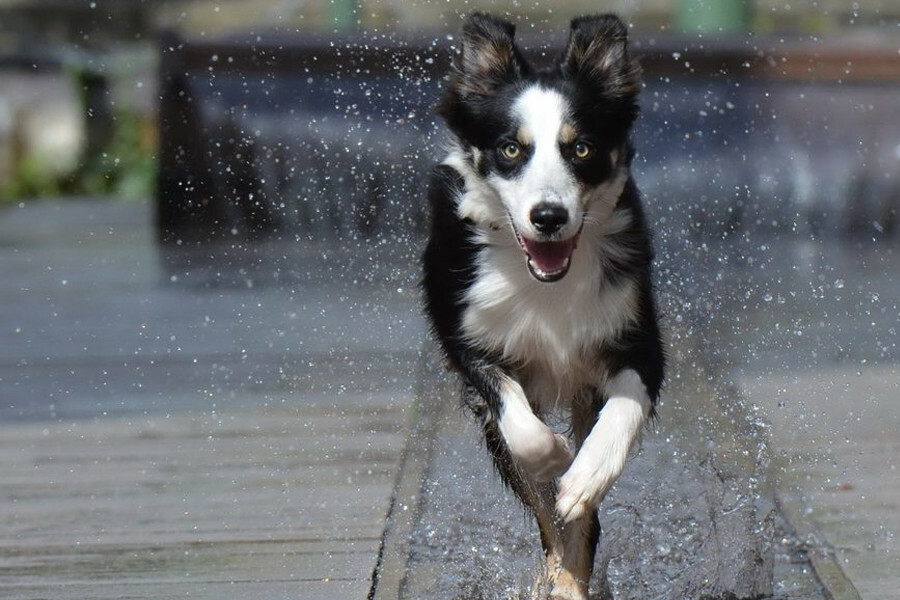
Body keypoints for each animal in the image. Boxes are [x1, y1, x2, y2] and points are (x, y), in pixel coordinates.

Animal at [420, 14, 660, 600]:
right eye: (511, 150)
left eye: (582, 149)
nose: (548, 217)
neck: (547, 284)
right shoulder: (468, 340)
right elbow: (524, 435)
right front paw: (555, 456)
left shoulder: (638, 336)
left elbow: (622, 410)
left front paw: (584, 474)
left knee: (582, 523)